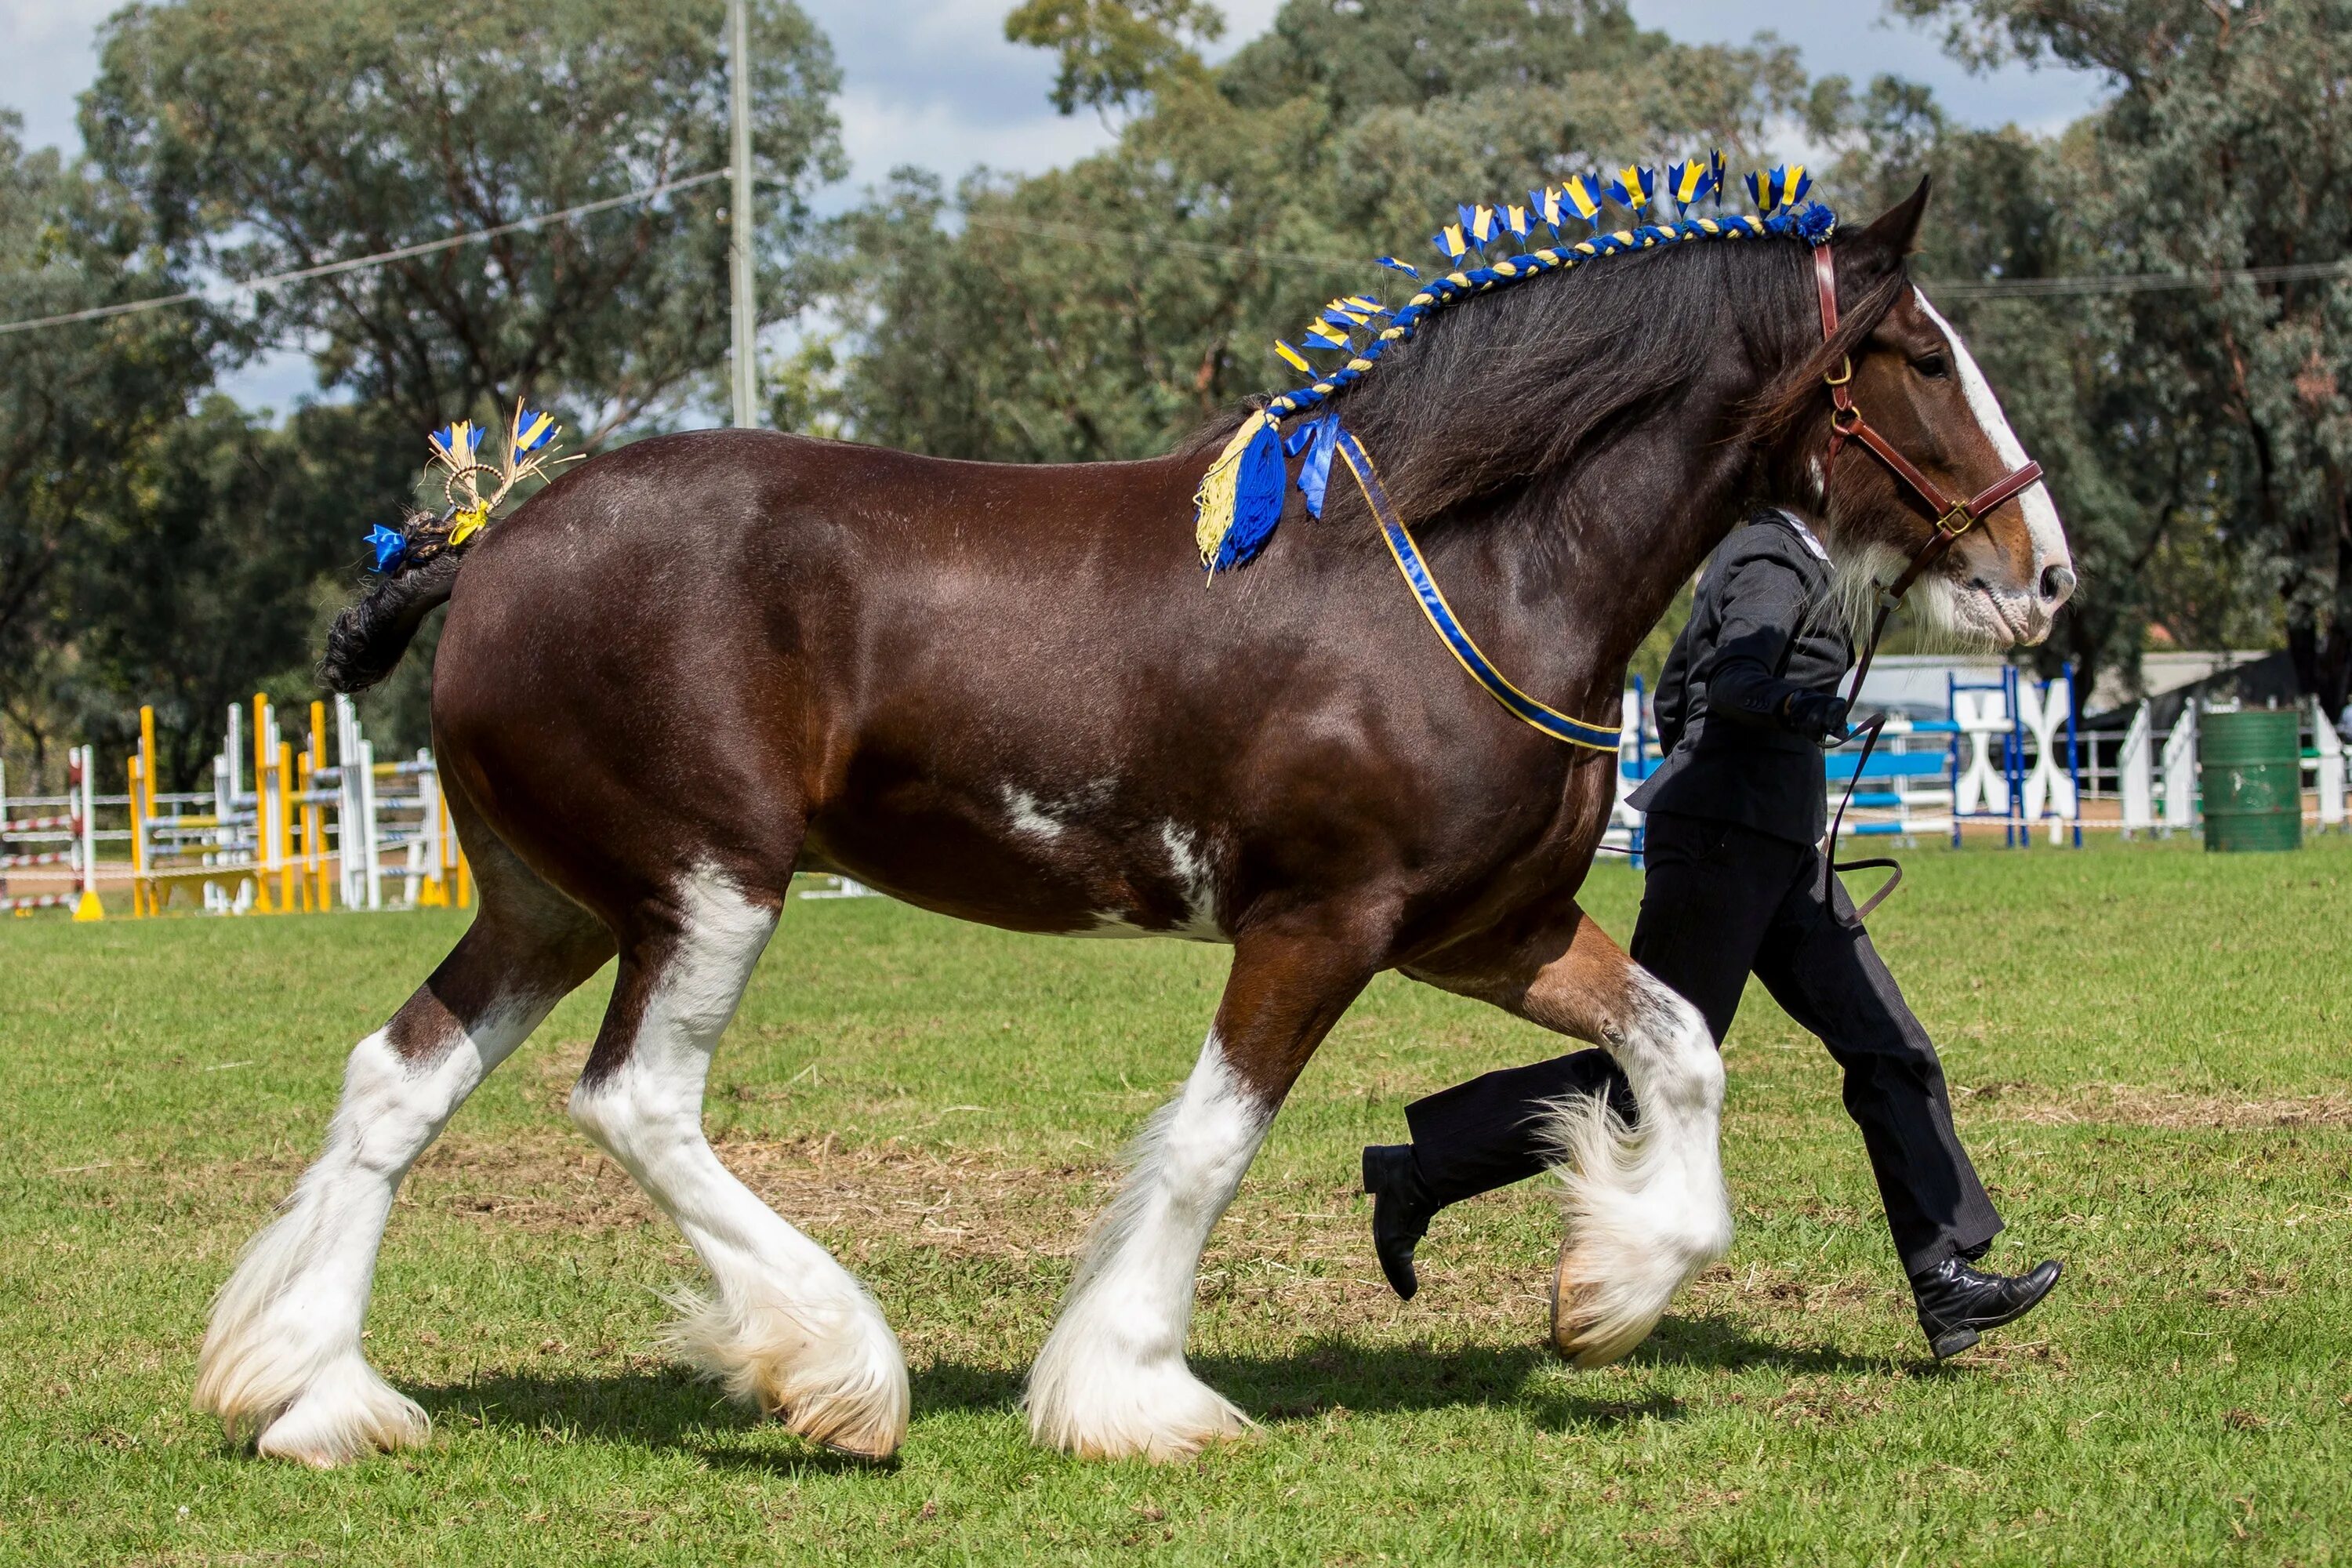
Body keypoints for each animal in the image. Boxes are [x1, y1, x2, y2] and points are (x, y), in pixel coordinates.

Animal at [202, 180, 2079, 1476]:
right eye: (1923, 355)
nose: (2046, 574)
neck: (1468, 565)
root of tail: (487, 548)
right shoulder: (1320, 925)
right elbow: (1208, 1145)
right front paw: (1134, 1391)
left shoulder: (1489, 930)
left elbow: (1677, 1043)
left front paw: (1606, 1292)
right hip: (706, 890)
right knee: (637, 1100)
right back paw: (837, 1372)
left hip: (554, 900)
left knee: (395, 1086)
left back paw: (314, 1397)